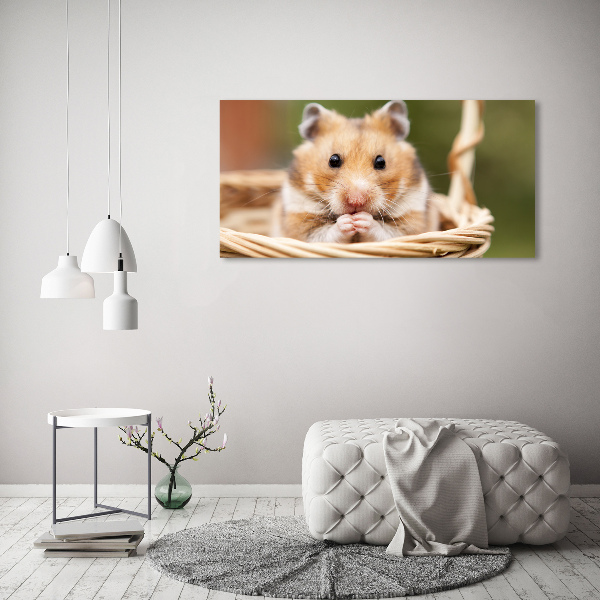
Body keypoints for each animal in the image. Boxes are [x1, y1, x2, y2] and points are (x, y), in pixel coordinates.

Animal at [282, 101, 436, 244]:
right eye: (333, 160)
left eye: (381, 162)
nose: (356, 200)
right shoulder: (300, 222)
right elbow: (323, 234)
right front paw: (348, 222)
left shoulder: (411, 221)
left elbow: (386, 232)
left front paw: (361, 219)